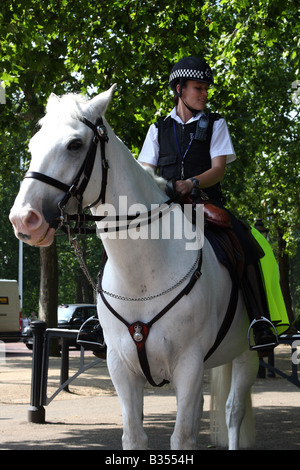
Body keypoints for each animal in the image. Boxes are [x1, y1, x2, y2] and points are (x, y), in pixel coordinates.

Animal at [9, 86, 258, 450]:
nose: (24, 219)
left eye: (75, 144)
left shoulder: (188, 366)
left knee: (234, 409)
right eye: (32, 144)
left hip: (247, 353)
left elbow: (182, 438)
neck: (144, 272)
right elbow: (135, 435)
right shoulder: (122, 368)